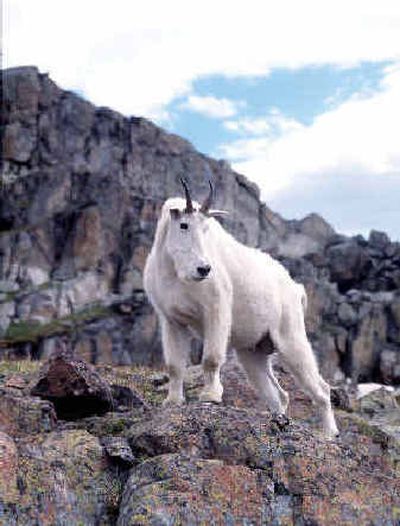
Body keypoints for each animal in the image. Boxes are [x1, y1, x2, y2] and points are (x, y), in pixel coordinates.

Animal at [143, 179, 338, 440]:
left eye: (207, 228)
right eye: (184, 225)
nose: (204, 269)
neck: (174, 270)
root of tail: (296, 289)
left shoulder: (216, 309)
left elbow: (211, 359)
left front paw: (211, 396)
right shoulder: (172, 320)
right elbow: (174, 366)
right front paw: (172, 401)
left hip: (290, 335)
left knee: (321, 388)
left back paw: (329, 434)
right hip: (253, 351)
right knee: (278, 394)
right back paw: (280, 421)